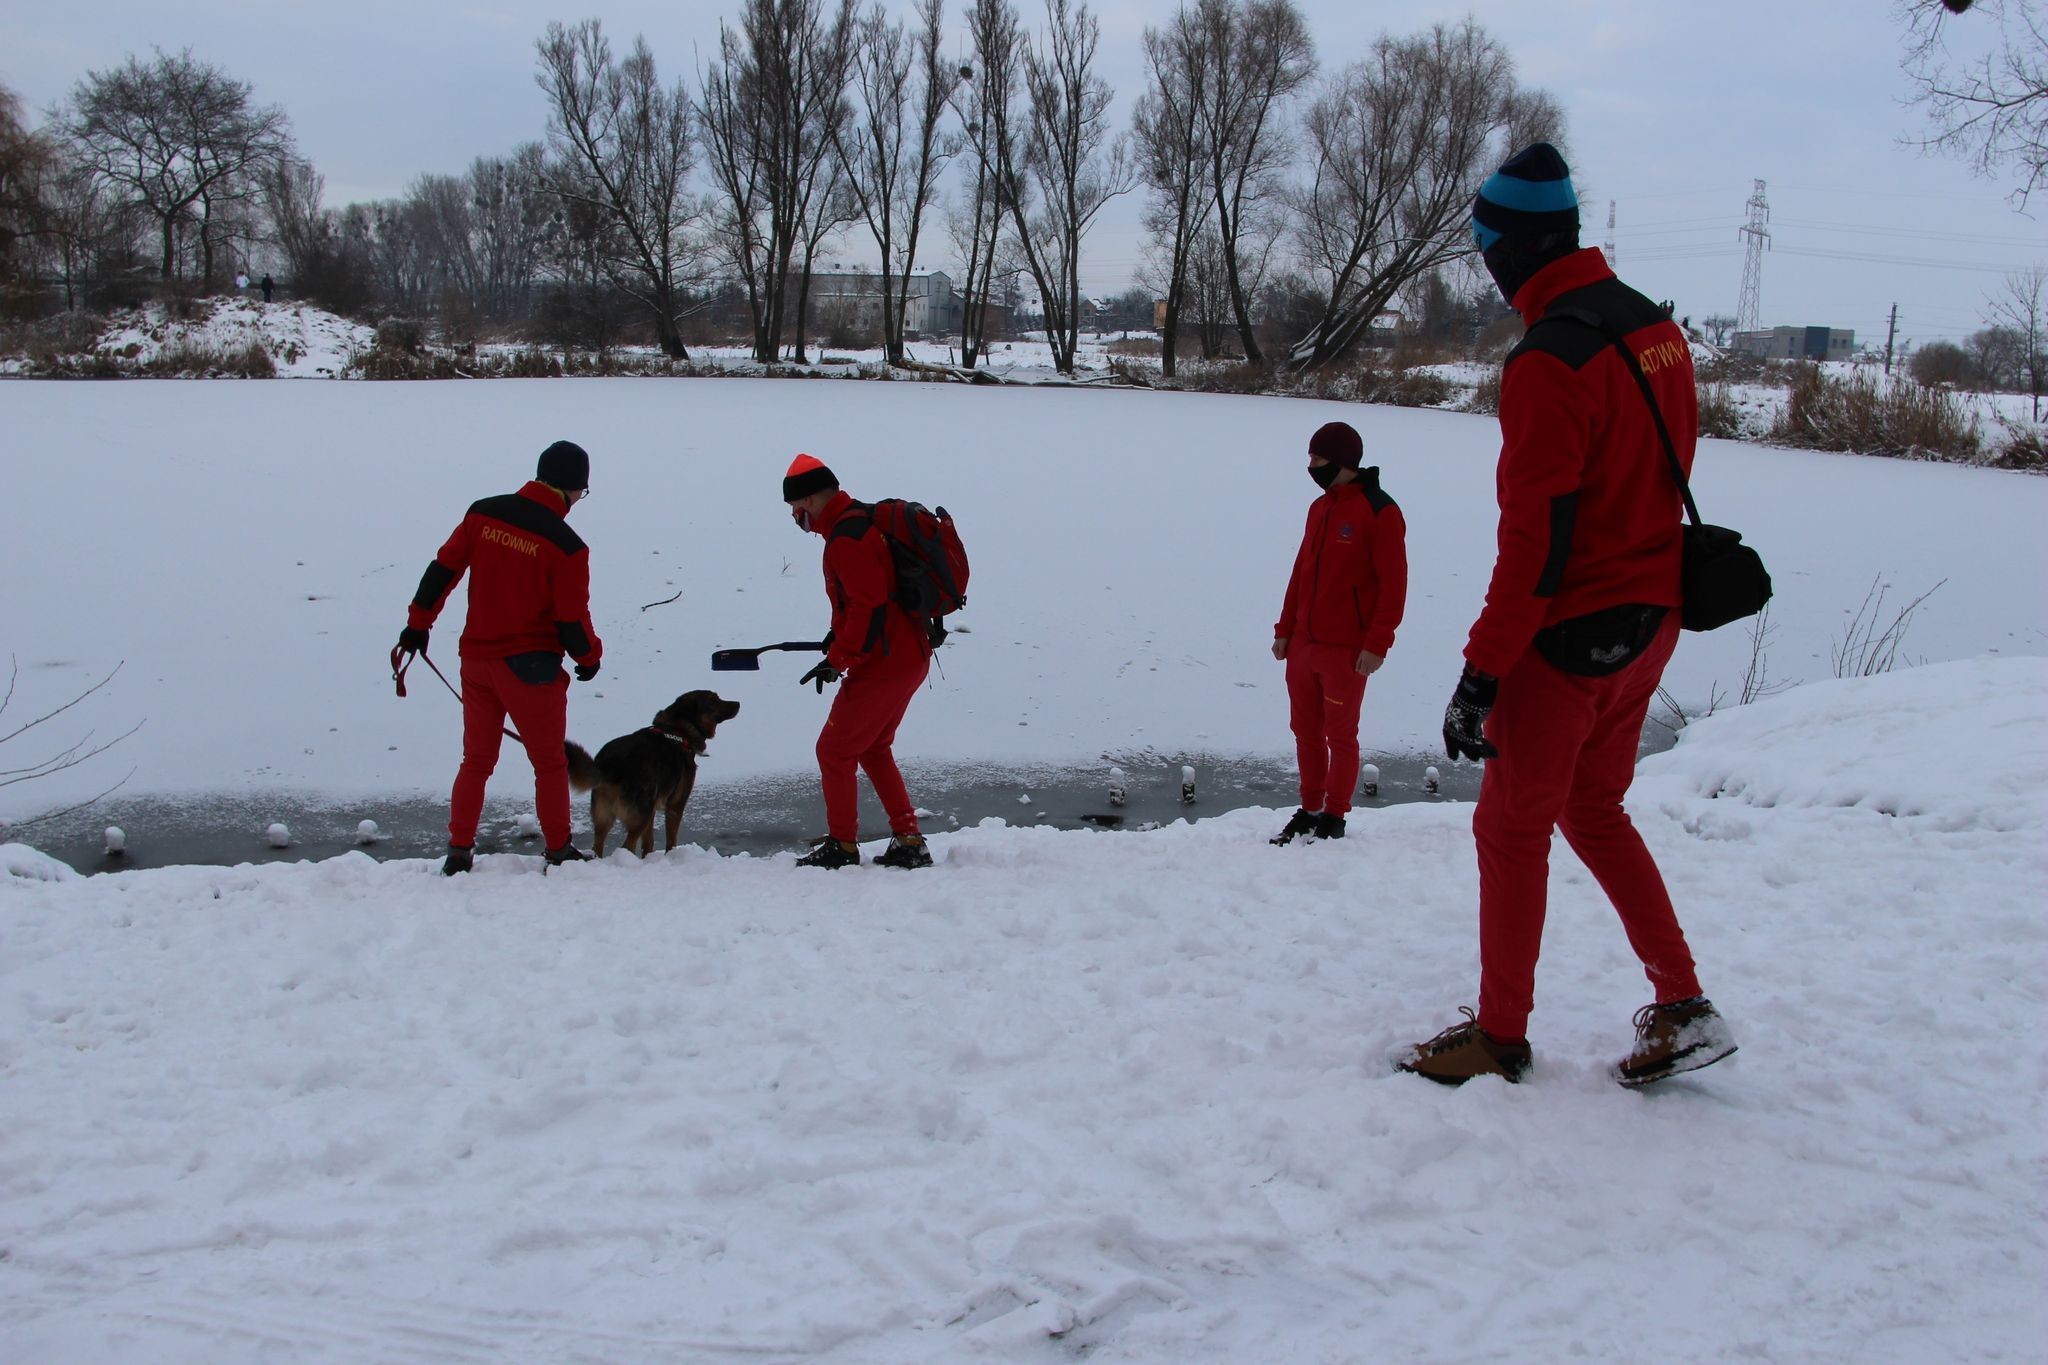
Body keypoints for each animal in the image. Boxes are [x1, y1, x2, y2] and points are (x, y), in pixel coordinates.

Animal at [565, 687, 741, 859]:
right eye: (714, 700)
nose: (738, 703)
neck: (678, 730)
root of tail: (610, 764)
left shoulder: (653, 808)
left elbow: (648, 843)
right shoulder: (675, 805)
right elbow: (671, 840)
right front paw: (671, 857)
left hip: (606, 816)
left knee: (598, 846)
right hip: (640, 815)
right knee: (627, 846)